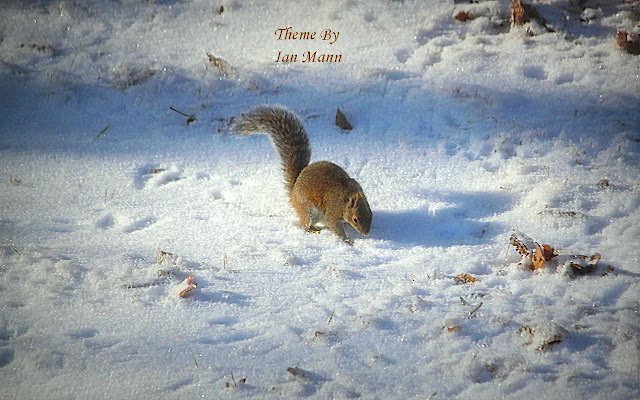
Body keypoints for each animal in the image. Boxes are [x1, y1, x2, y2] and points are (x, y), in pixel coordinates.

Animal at [231, 105, 370, 244]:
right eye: (355, 219)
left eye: (370, 214)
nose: (366, 233)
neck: (346, 198)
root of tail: (293, 193)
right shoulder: (333, 210)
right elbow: (333, 225)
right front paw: (346, 240)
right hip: (308, 210)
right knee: (304, 225)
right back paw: (312, 230)